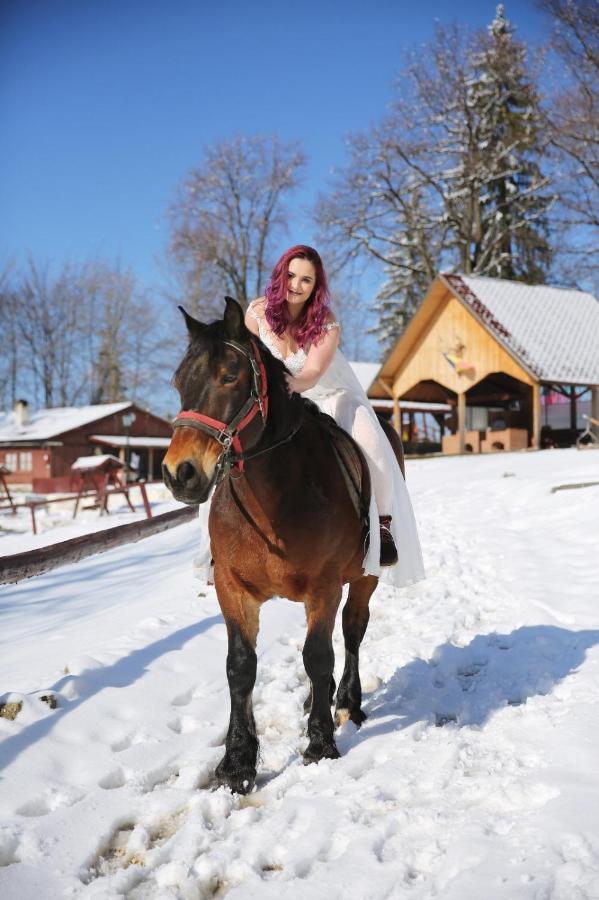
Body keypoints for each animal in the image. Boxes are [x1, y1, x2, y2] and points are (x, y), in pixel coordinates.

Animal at [163, 298, 404, 792]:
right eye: (179, 381)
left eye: (230, 375)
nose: (181, 473)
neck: (273, 497)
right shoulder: (232, 588)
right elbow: (240, 666)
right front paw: (237, 762)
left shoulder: (325, 586)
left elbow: (318, 655)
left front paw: (320, 743)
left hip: (365, 576)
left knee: (352, 631)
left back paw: (346, 702)